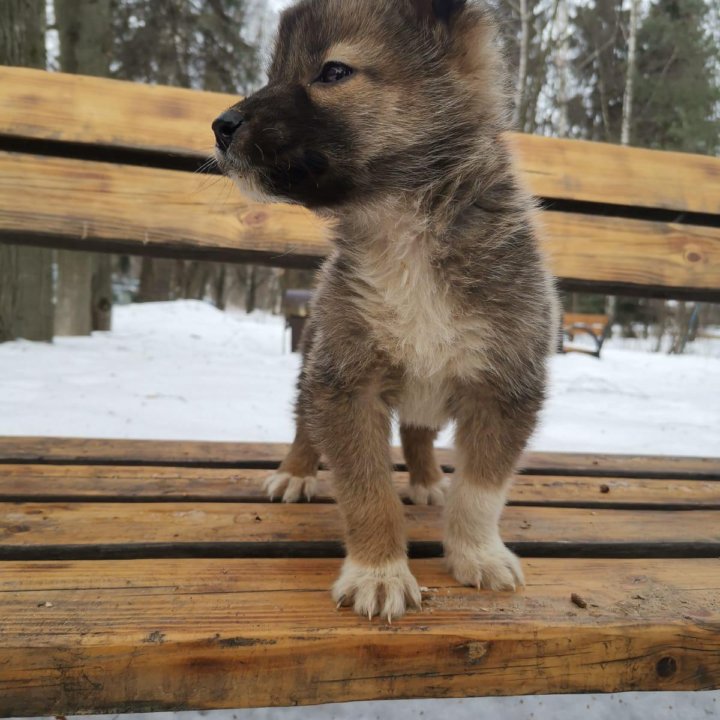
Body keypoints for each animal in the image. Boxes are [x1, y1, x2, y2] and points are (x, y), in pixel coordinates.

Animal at [211, 0, 560, 620]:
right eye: (275, 72)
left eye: (333, 72)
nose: (220, 126)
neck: (402, 231)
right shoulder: (344, 383)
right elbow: (366, 490)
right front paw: (379, 573)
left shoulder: (505, 385)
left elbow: (482, 490)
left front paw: (477, 553)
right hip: (313, 359)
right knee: (303, 424)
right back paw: (295, 473)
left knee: (419, 432)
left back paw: (426, 478)